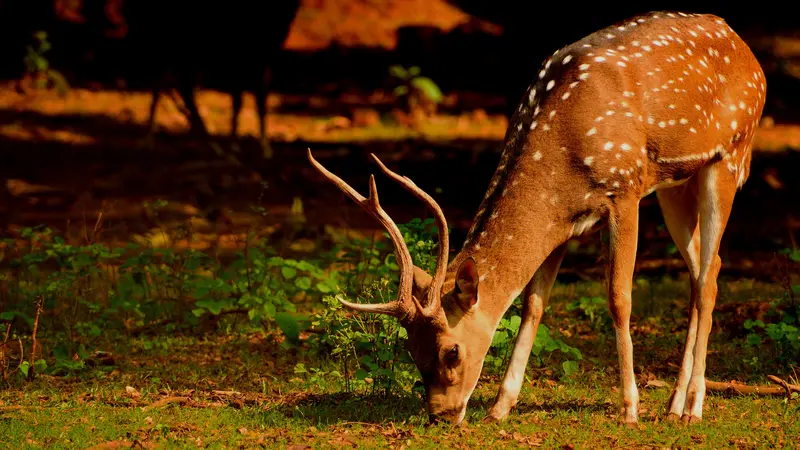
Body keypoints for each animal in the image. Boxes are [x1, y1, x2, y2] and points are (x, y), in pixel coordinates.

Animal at [304, 8, 764, 428]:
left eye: (452, 351)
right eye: (411, 350)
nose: (441, 416)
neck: (560, 156)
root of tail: (747, 50)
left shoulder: (625, 189)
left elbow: (619, 298)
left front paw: (630, 409)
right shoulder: (564, 222)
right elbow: (533, 304)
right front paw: (500, 407)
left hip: (729, 156)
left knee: (708, 278)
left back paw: (693, 407)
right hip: (675, 184)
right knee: (705, 269)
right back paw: (672, 404)